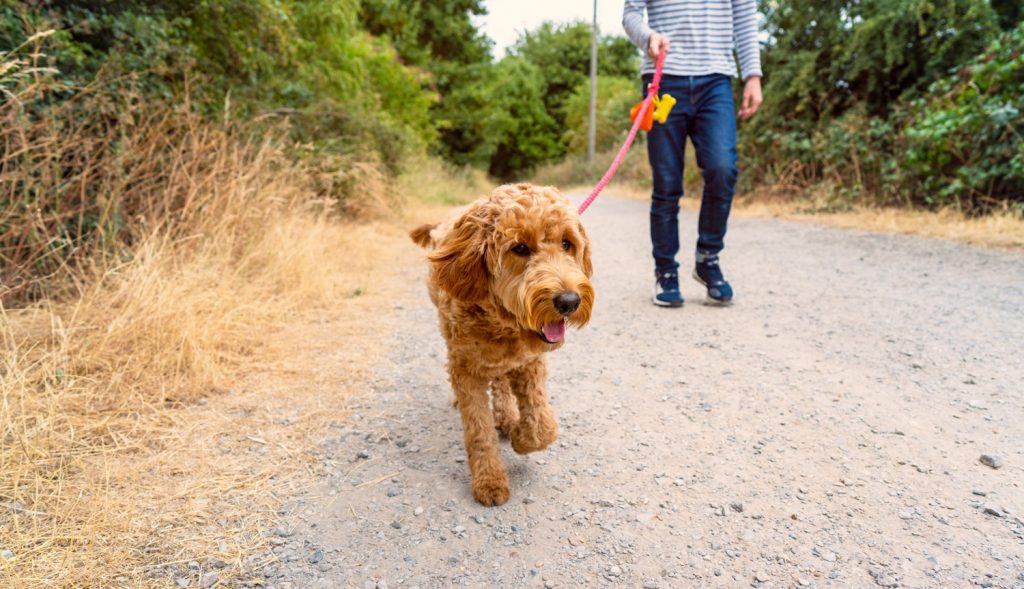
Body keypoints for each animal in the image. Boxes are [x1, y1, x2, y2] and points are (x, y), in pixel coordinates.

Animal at [411, 184, 598, 508]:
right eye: (519, 248)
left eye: (567, 244)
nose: (569, 301)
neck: (503, 325)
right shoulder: (466, 370)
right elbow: (479, 431)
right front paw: (489, 481)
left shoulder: (531, 362)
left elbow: (543, 425)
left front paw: (522, 439)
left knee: (500, 382)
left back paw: (508, 416)